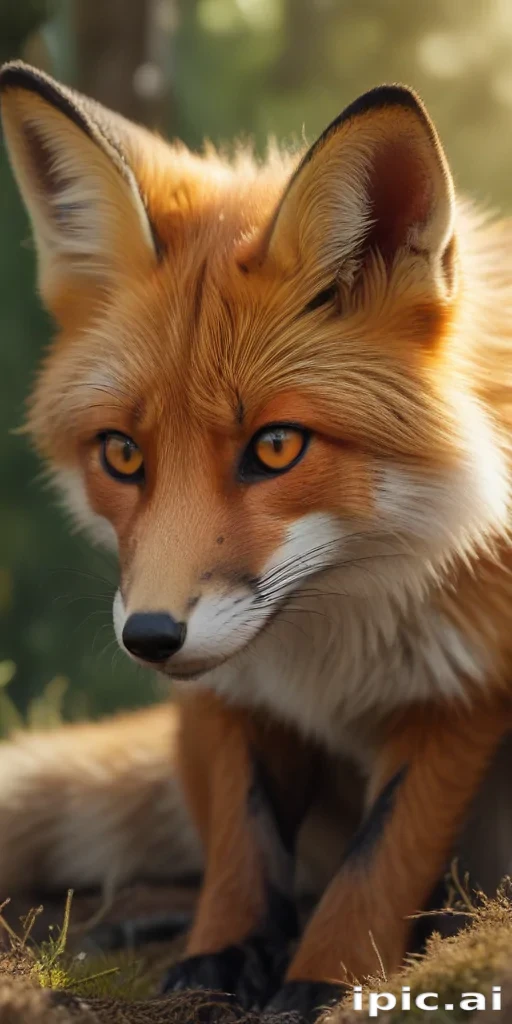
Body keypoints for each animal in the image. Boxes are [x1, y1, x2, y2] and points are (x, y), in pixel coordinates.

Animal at [2, 58, 512, 1018]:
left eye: (276, 447)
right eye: (121, 454)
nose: (150, 638)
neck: (333, 649)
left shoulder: (461, 692)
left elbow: (380, 860)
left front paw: (327, 977)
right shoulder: (227, 695)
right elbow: (241, 843)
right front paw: (220, 955)